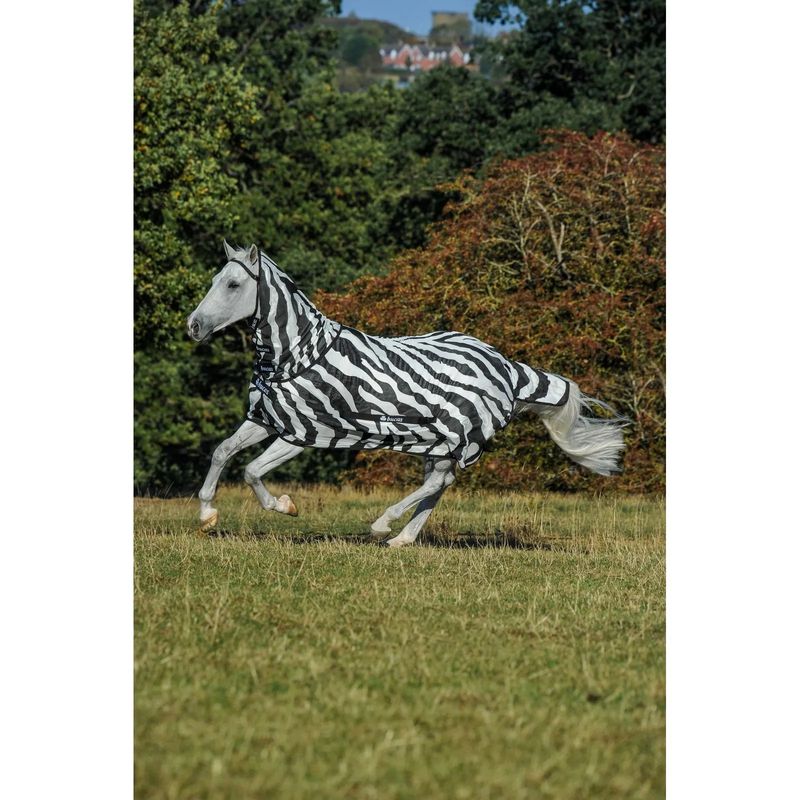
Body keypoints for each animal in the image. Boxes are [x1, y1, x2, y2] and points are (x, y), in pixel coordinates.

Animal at [186, 242, 626, 547]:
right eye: (213, 280)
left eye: (233, 284)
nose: (193, 326)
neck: (295, 354)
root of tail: (508, 367)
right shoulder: (266, 419)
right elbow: (223, 453)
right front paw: (207, 515)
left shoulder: (305, 431)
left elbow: (251, 470)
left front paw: (285, 506)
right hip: (439, 441)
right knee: (440, 484)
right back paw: (402, 538)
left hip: (457, 435)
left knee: (437, 483)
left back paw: (383, 525)